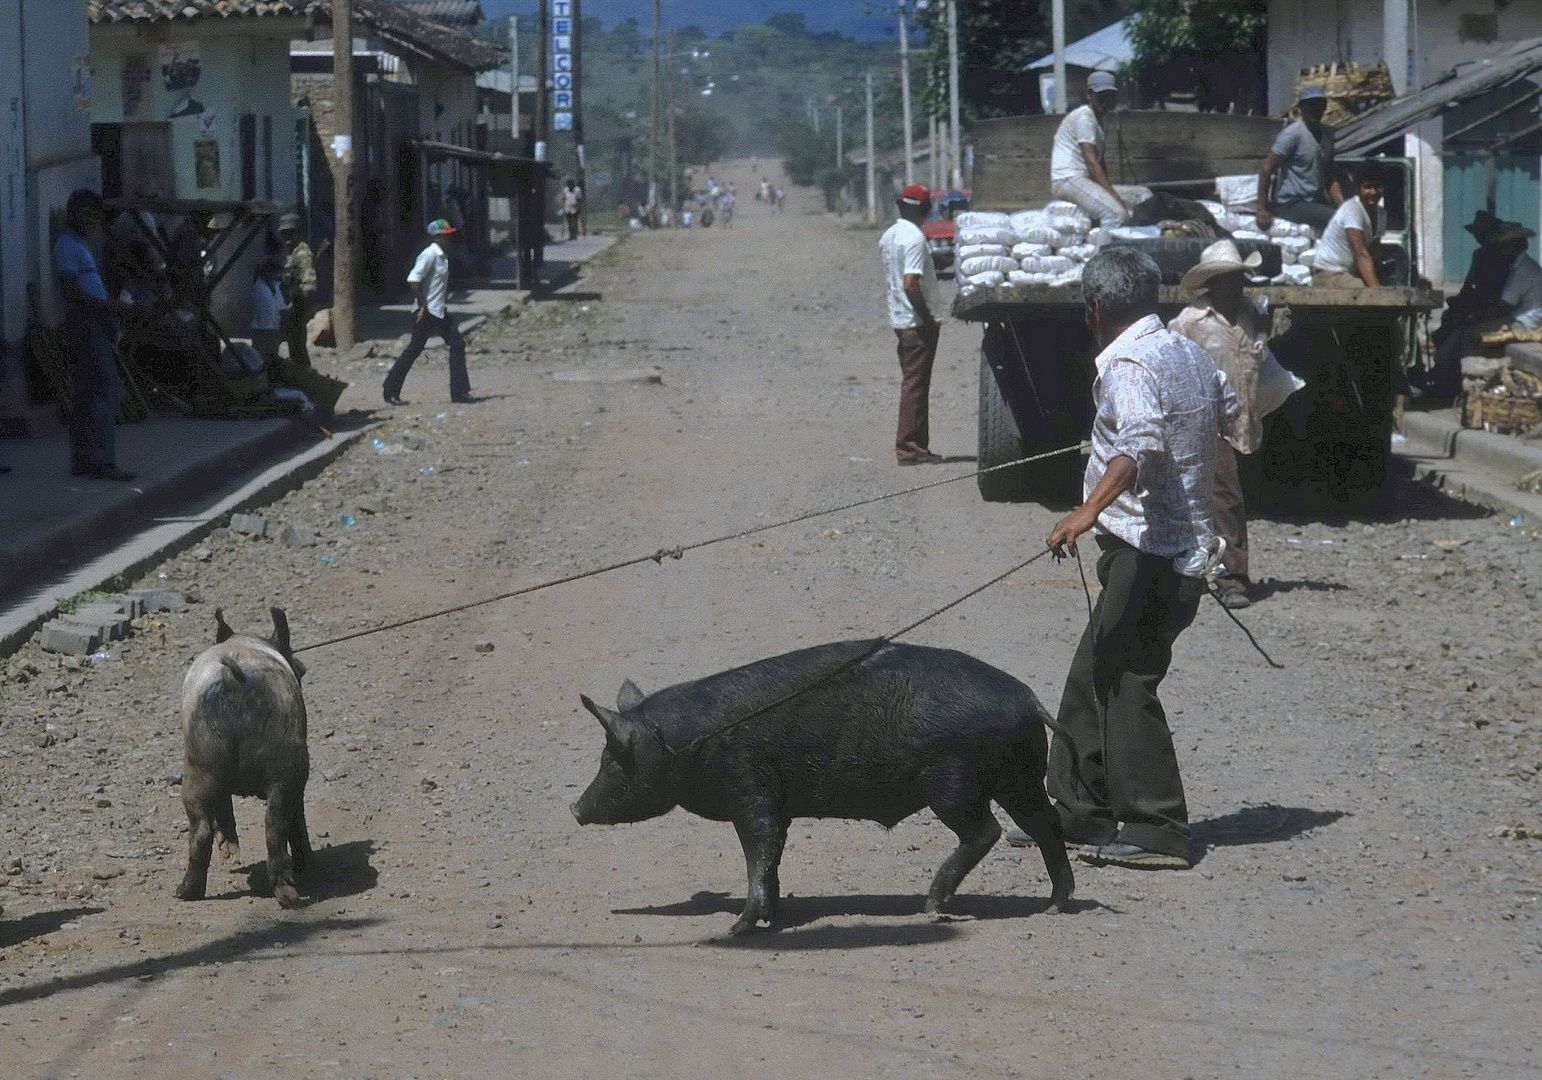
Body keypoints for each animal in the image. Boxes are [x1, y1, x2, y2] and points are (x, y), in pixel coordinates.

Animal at [570, 641, 1073, 938]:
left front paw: (732, 931)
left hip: (954, 782)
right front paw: (771, 917)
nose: (574, 808)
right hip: (1019, 778)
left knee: (986, 832)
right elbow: (772, 857)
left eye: (611, 758)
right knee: (1045, 823)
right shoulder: (777, 805)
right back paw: (1054, 906)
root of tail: (1028, 699)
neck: (683, 743)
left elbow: (757, 854)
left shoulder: (752, 792)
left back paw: (933, 907)